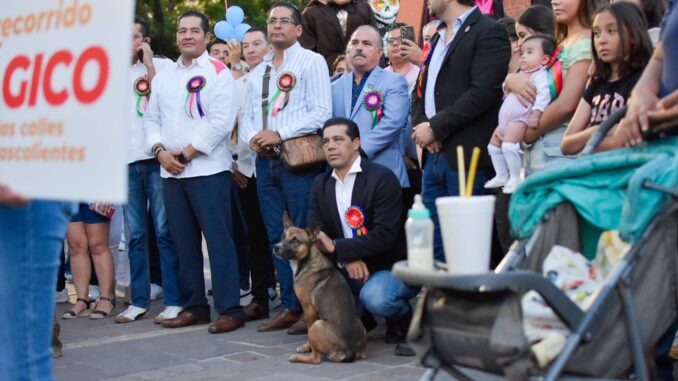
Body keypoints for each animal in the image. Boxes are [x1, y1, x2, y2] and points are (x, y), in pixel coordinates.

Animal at [276, 212, 370, 364]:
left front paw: (306, 347)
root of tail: (349, 348)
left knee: (316, 358)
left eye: (295, 240)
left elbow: (307, 331)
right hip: (360, 325)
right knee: (361, 354)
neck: (308, 261)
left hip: (317, 325)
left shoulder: (308, 308)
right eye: (282, 236)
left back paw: (297, 357)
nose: (275, 247)